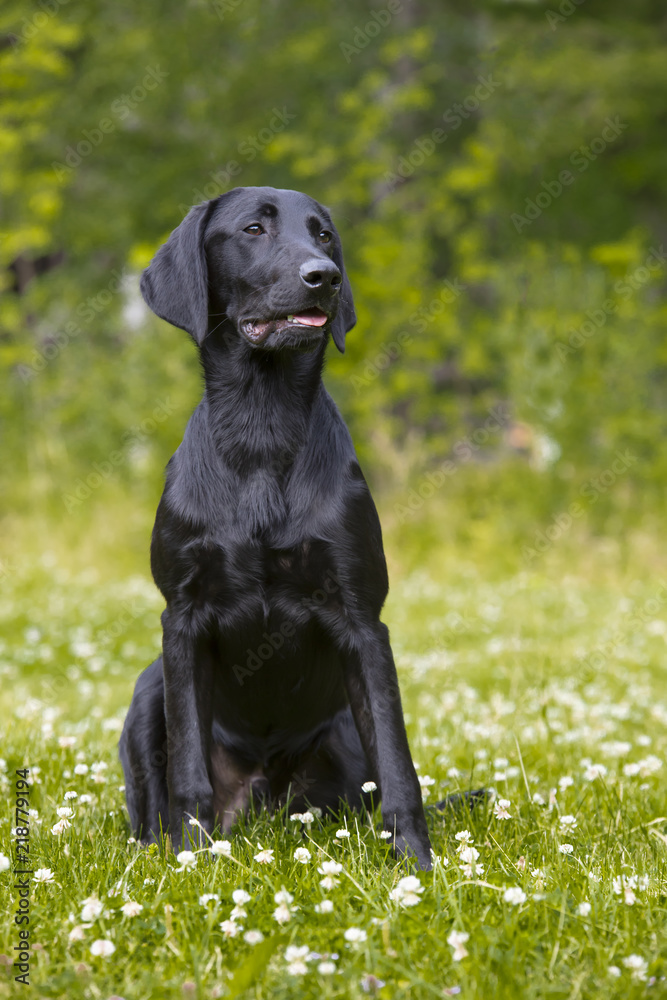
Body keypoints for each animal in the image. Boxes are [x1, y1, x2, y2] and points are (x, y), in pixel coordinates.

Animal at [119, 186, 434, 868]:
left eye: (323, 235)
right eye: (254, 229)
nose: (325, 276)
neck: (261, 426)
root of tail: (261, 797)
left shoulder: (362, 620)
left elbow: (398, 764)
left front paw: (416, 866)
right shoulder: (181, 618)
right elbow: (187, 771)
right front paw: (190, 859)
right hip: (149, 688)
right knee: (152, 802)